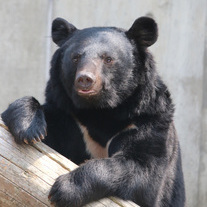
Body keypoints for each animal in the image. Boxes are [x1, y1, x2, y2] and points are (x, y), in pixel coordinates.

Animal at [1, 17, 186, 206]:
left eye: (108, 59)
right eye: (75, 57)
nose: (85, 79)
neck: (100, 110)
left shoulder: (147, 121)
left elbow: (143, 168)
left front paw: (65, 189)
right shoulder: (69, 118)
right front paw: (29, 130)